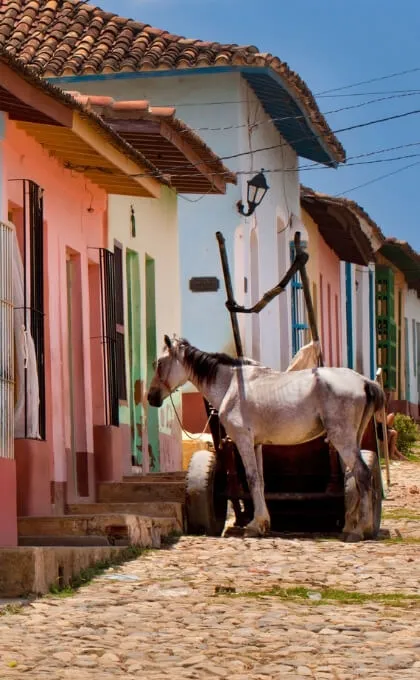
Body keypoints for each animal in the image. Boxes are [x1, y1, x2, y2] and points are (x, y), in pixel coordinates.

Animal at [148, 336, 384, 540]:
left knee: (362, 474)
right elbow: (260, 480)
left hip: (341, 439)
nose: (151, 397)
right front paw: (262, 522)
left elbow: (251, 478)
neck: (231, 385)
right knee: (355, 476)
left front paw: (254, 525)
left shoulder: (242, 440)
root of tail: (364, 381)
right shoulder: (257, 444)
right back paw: (352, 525)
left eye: (159, 363)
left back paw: (360, 529)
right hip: (351, 439)